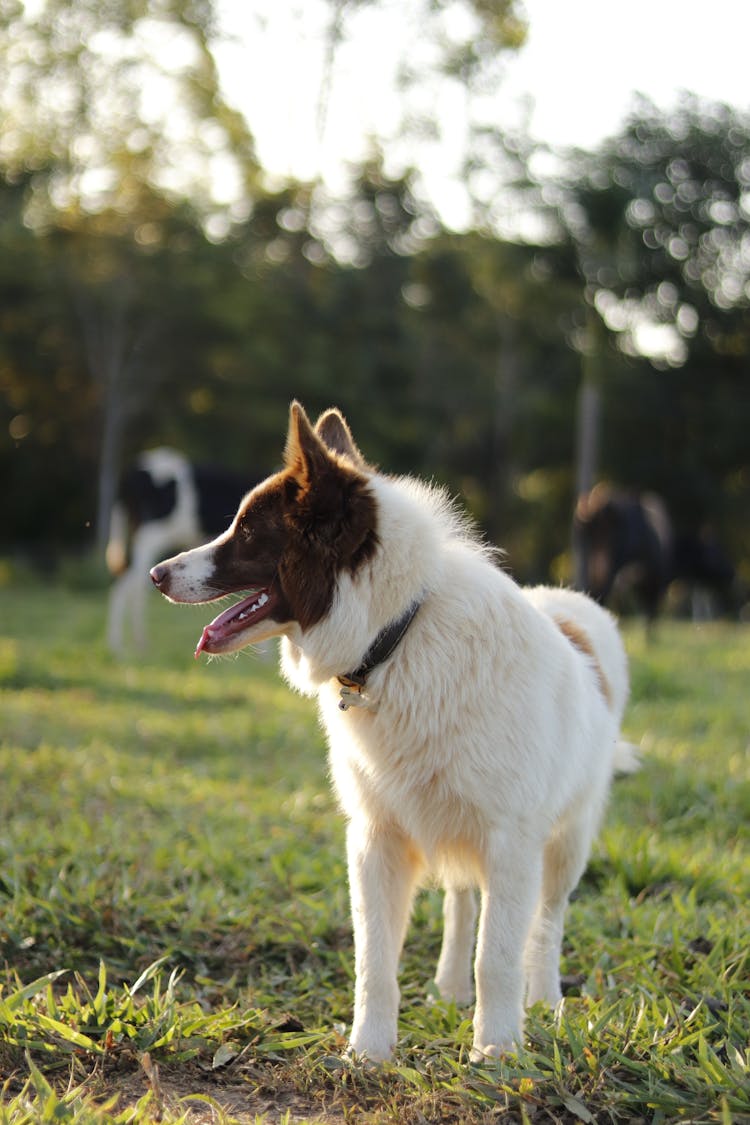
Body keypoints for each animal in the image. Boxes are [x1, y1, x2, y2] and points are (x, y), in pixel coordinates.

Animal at [150, 402, 634, 1062]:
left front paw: (497, 1053)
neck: (398, 635)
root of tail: (568, 608)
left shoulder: (511, 841)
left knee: (546, 923)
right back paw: (450, 988)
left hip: (566, 843)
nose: (155, 573)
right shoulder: (376, 839)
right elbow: (374, 962)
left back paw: (544, 1000)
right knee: (462, 899)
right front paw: (368, 1053)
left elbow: (498, 957)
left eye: (247, 532)